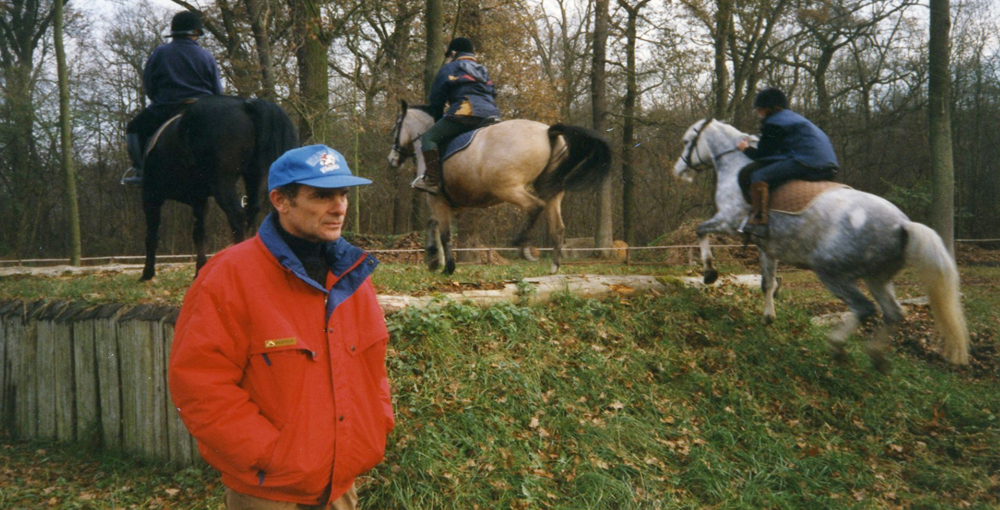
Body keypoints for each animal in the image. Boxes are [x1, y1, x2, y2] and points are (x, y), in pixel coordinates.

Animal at [140, 93, 296, 280]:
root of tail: (245, 104)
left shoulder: (151, 196)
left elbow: (152, 234)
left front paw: (147, 273)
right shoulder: (198, 199)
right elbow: (199, 232)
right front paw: (199, 270)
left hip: (222, 182)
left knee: (237, 215)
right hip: (255, 176)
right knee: (251, 211)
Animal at [386, 100, 612, 274]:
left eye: (395, 128)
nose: (392, 160)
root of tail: (548, 131)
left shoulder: (436, 198)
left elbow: (444, 233)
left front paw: (448, 267)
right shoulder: (448, 202)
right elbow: (432, 224)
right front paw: (433, 259)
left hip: (507, 188)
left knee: (534, 206)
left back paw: (523, 245)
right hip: (550, 190)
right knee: (557, 227)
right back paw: (554, 267)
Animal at [672, 117, 968, 368]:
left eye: (687, 141)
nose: (678, 171)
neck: (735, 164)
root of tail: (903, 225)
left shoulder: (728, 222)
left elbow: (700, 231)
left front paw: (709, 273)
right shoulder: (767, 247)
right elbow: (767, 283)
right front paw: (768, 317)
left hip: (831, 272)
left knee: (863, 308)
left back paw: (837, 346)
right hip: (878, 278)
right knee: (893, 313)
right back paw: (876, 357)